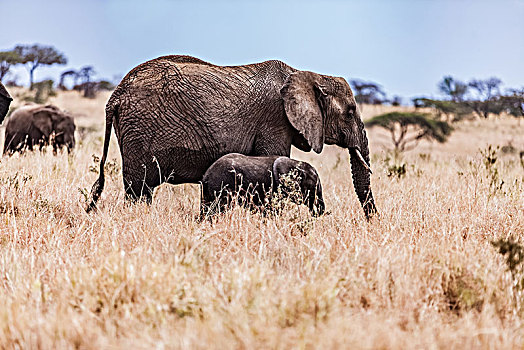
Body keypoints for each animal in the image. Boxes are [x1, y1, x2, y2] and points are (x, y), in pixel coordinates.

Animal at [89, 55, 376, 219]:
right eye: (351, 112)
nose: (372, 221)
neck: (307, 74)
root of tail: (115, 95)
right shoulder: (275, 120)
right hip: (139, 130)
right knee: (139, 190)